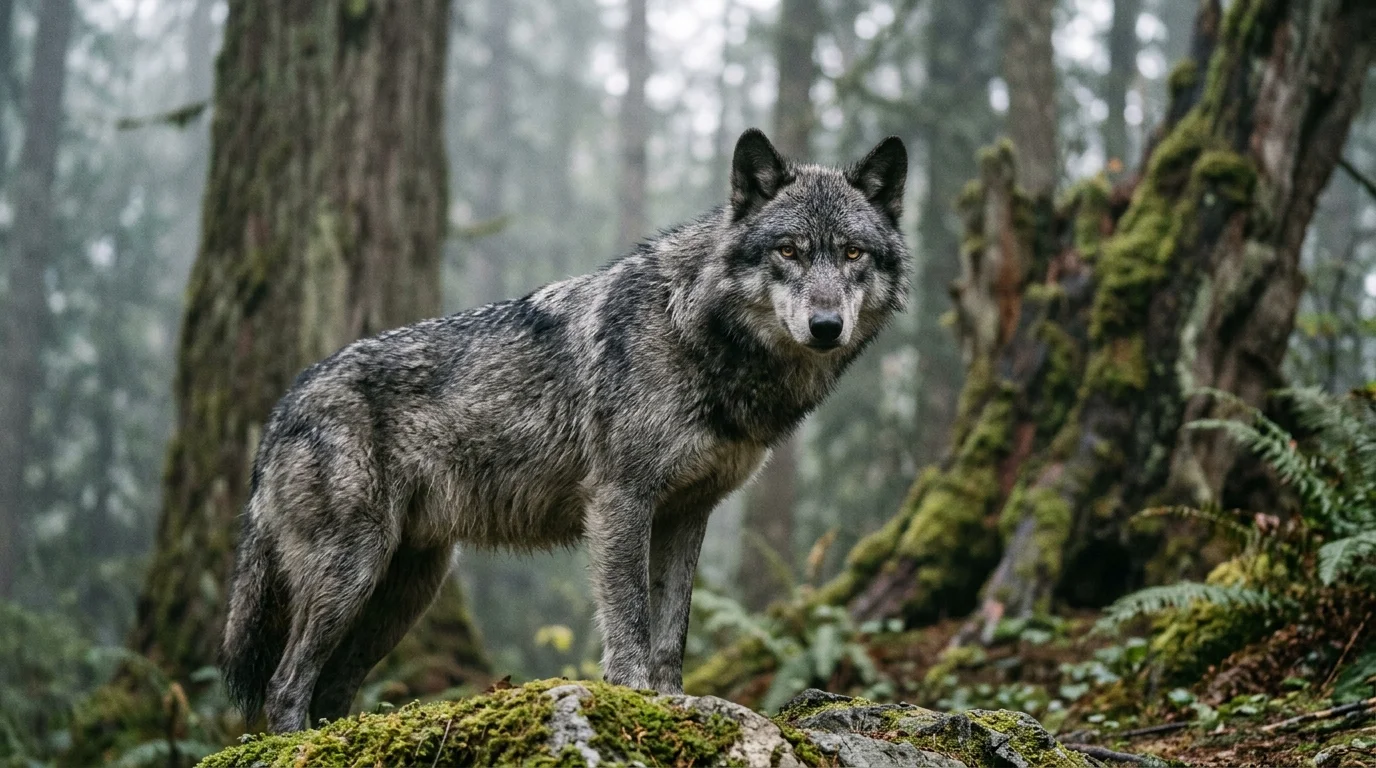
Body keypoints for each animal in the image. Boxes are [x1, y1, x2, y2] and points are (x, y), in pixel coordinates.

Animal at [220, 128, 909, 732]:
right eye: (788, 250)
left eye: (852, 253)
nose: (826, 326)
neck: (694, 330)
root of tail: (286, 403)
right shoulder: (621, 501)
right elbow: (630, 621)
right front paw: (633, 700)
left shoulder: (688, 514)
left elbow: (671, 633)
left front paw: (675, 704)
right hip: (353, 572)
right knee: (285, 685)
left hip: (405, 592)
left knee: (331, 688)